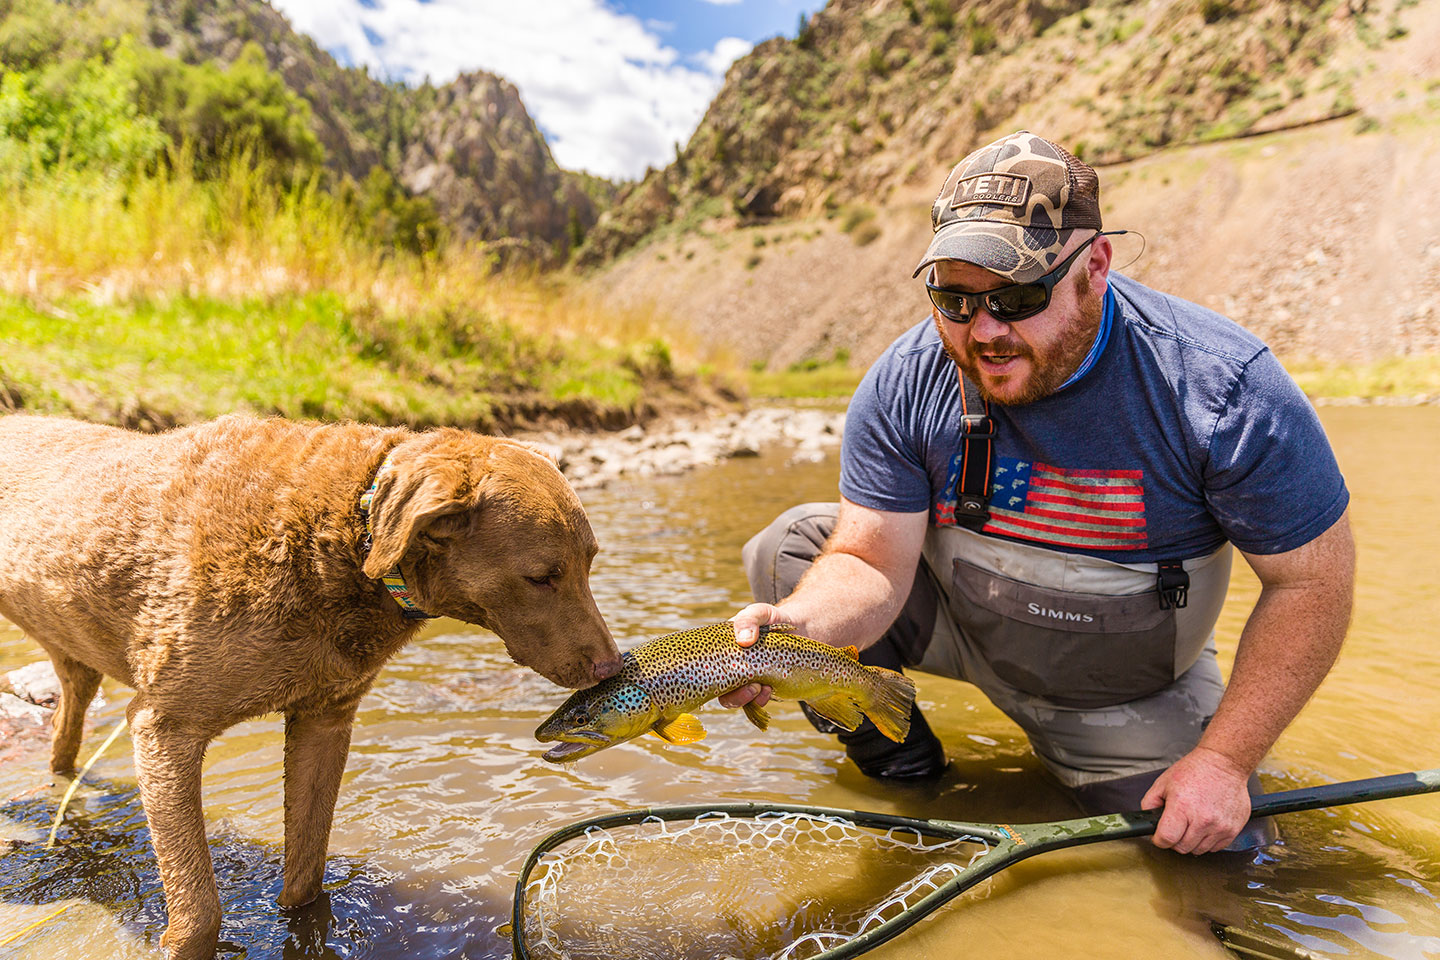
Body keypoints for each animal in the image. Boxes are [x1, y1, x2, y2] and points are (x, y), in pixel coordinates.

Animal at [0, 414, 616, 960]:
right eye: (542, 576)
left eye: (590, 562)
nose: (611, 667)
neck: (347, 540)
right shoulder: (165, 727)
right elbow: (199, 906)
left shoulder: (325, 717)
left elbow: (306, 872)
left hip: (73, 662)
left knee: (67, 722)